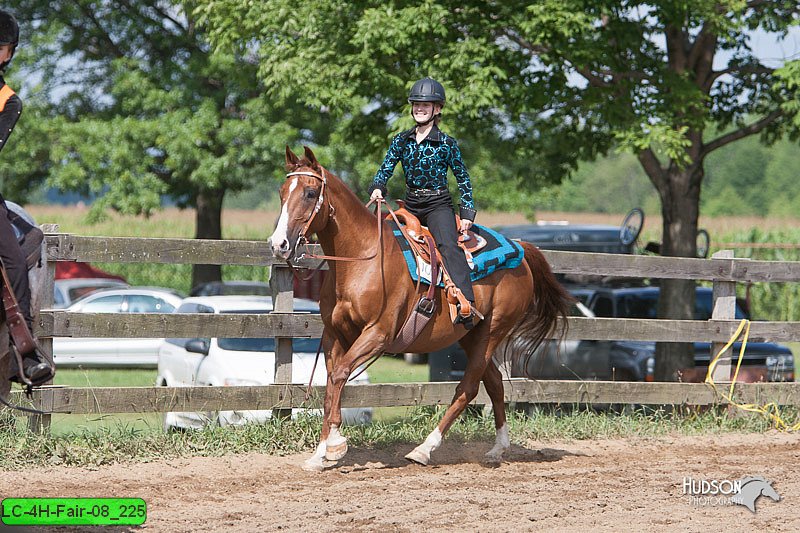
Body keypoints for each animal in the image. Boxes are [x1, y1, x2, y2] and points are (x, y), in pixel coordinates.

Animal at [272, 147, 572, 470]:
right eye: (281, 192)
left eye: (310, 192)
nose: (279, 244)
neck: (362, 259)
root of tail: (520, 250)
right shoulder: (334, 334)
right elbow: (331, 384)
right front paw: (320, 453)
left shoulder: (378, 334)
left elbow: (339, 375)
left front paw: (336, 445)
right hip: (470, 334)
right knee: (493, 382)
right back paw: (497, 449)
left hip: (492, 331)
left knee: (468, 387)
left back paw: (425, 449)